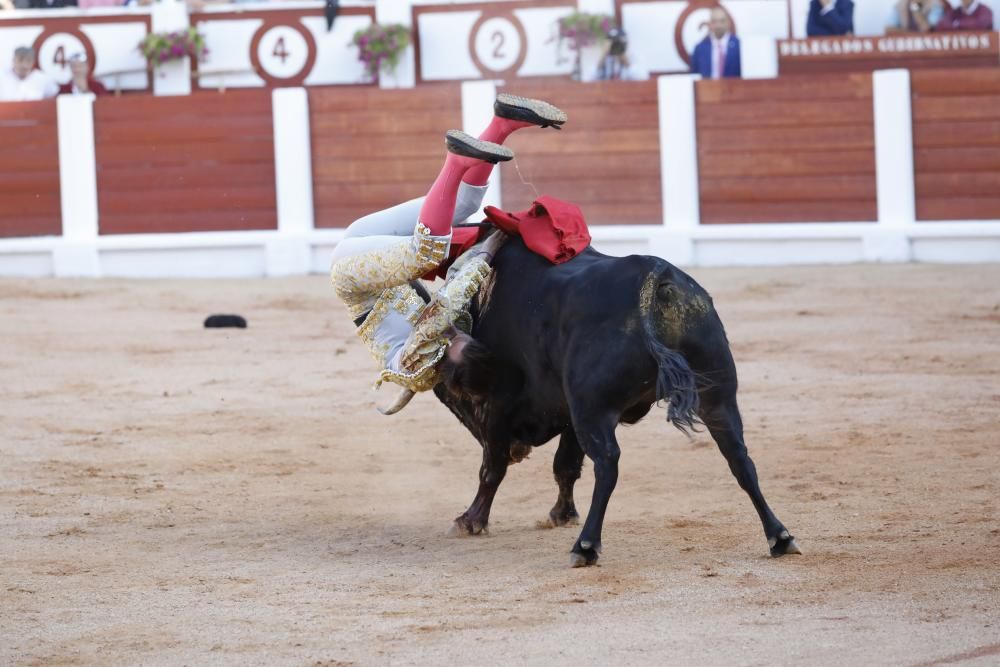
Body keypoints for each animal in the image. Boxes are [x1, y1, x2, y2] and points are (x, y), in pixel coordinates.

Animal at [426, 237, 800, 568]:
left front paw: (470, 520)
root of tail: (656, 276)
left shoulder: (501, 406)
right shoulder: (569, 409)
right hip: (717, 395)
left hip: (595, 410)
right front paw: (562, 514)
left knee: (607, 464)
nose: (521, 450)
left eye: (451, 390)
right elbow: (565, 466)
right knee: (739, 457)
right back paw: (779, 537)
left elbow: (494, 467)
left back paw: (586, 546)